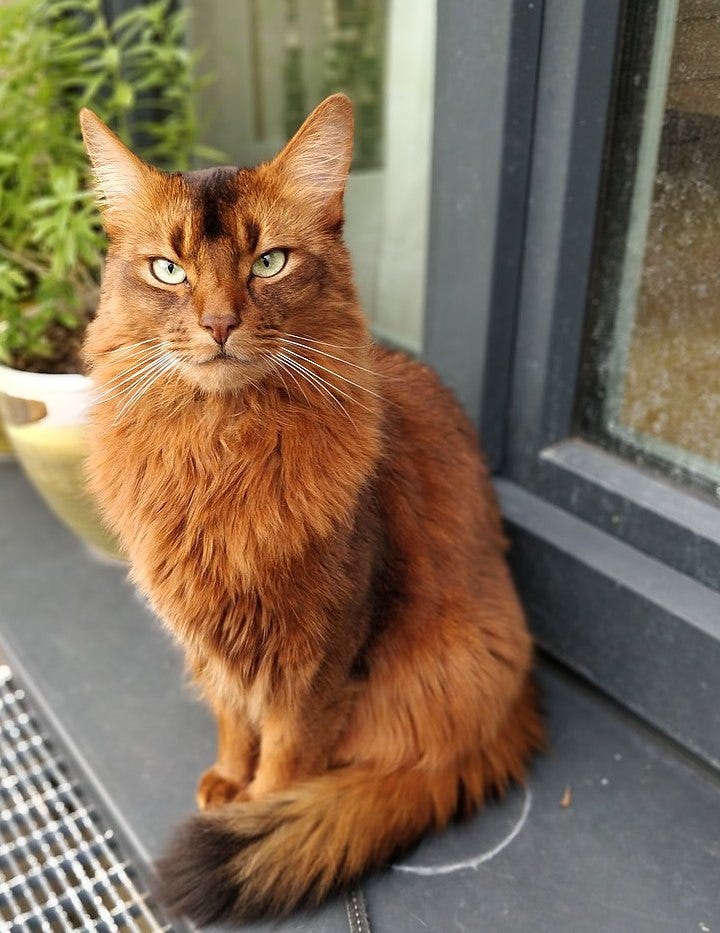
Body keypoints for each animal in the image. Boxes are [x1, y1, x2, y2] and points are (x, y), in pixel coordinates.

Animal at [79, 96, 544, 924]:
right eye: (168, 269)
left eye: (270, 262)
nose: (218, 324)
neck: (218, 455)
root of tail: (513, 708)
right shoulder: (213, 642)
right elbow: (234, 718)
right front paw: (228, 779)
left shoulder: (318, 655)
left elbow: (287, 752)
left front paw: (256, 806)